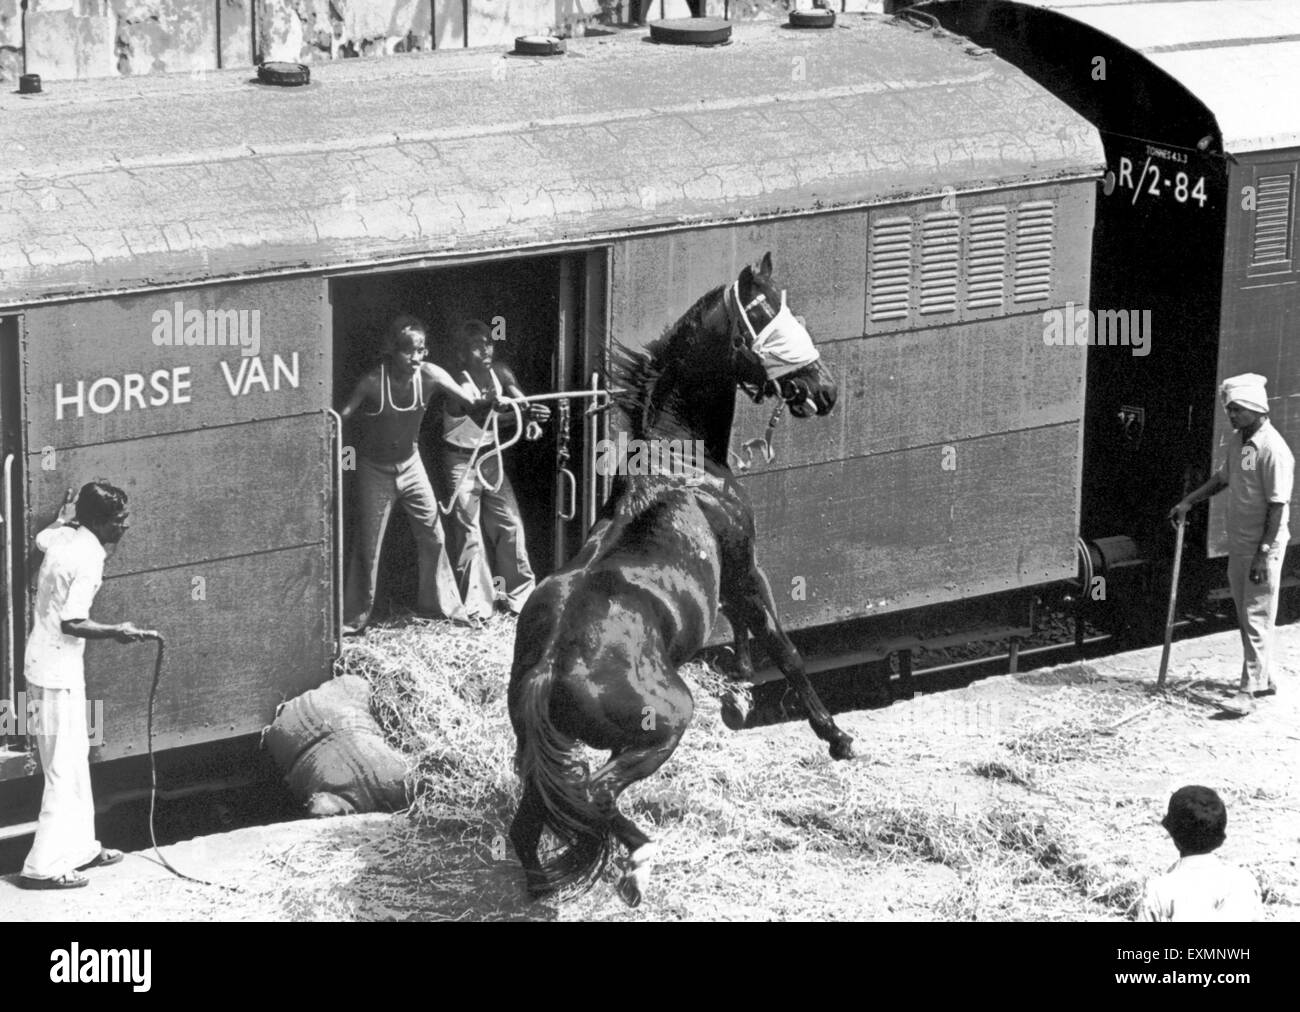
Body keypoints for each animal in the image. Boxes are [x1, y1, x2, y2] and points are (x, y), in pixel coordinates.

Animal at [507, 252, 855, 907]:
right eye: (766, 313)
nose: (823, 390)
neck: (678, 459)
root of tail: (547, 671)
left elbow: (746, 635)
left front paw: (739, 690)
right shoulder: (746, 567)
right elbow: (782, 646)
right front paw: (837, 737)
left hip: (542, 754)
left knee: (532, 825)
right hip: (661, 726)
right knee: (595, 794)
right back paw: (640, 859)